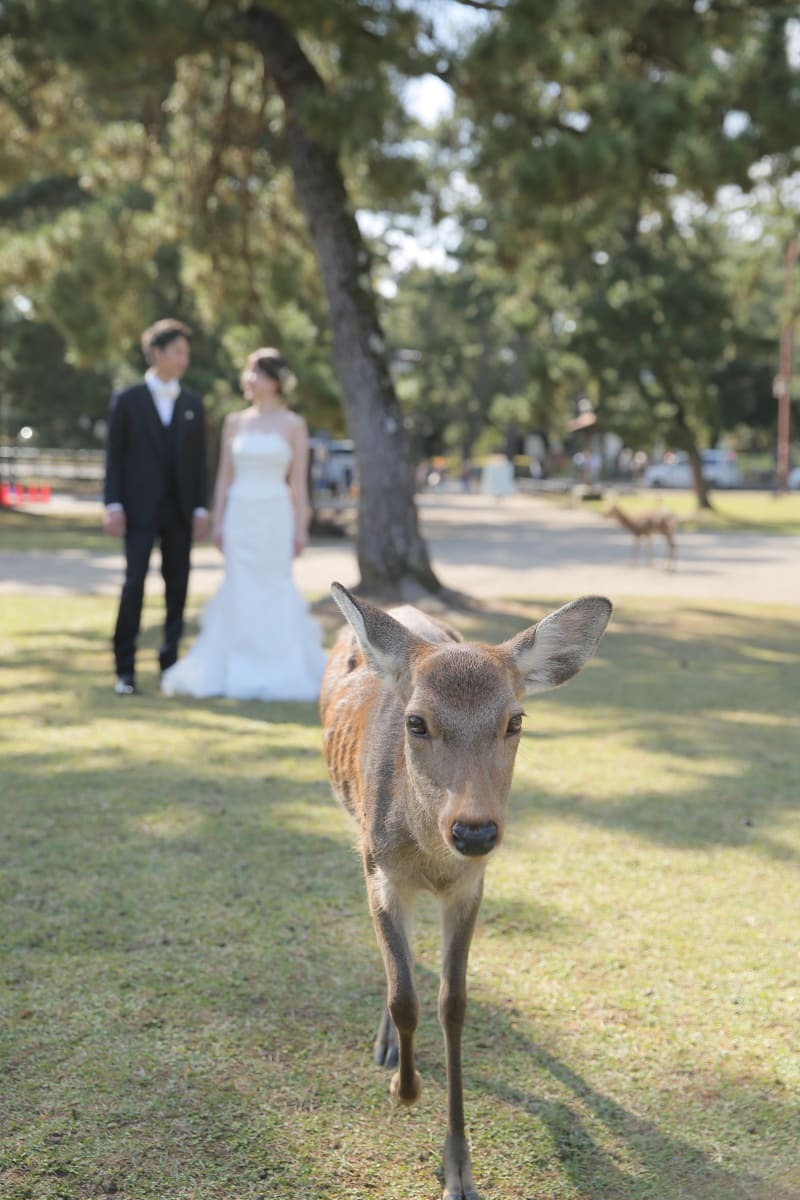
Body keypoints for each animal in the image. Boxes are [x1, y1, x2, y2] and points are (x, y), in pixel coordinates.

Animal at [319, 583, 614, 1200]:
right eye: (416, 722)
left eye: (515, 720)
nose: (475, 831)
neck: (431, 860)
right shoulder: (379, 871)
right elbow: (403, 994)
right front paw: (405, 1090)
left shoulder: (470, 888)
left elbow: (451, 1004)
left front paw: (458, 1167)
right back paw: (387, 1047)